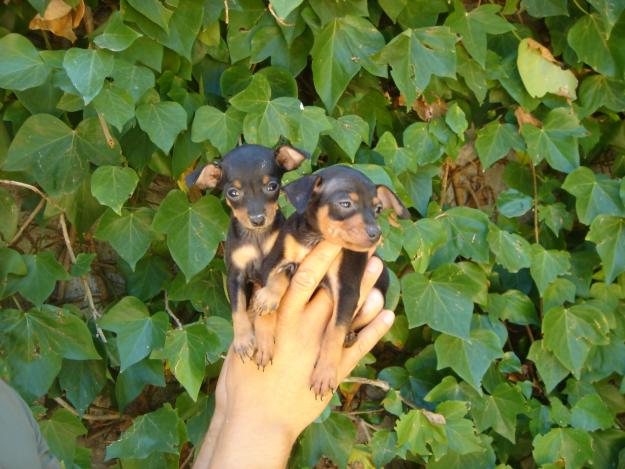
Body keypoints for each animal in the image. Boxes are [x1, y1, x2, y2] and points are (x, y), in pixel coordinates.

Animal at [184, 144, 308, 364]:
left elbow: (277, 282)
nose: (258, 219)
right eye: (233, 192)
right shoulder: (235, 275)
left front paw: (264, 341)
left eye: (272, 186)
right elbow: (238, 308)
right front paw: (243, 341)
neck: (257, 237)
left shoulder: (283, 263)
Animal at [250, 165, 410, 394]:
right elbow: (278, 277)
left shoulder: (347, 290)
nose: (376, 233)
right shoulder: (272, 263)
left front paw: (325, 374)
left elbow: (335, 332)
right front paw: (264, 337)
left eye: (378, 209)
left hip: (375, 299)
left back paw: (350, 336)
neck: (317, 239)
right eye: (345, 204)